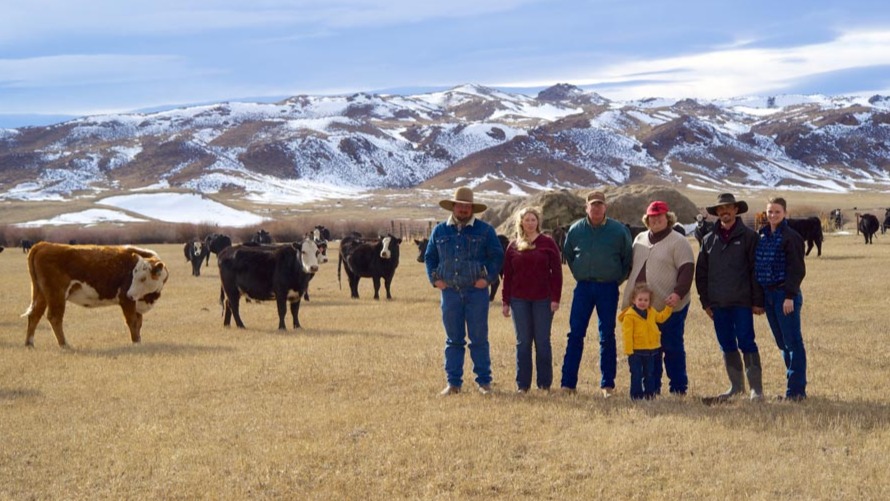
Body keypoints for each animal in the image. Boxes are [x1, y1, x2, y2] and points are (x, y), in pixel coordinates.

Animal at [22, 243, 168, 348]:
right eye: (134, 275)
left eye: (143, 278)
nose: (130, 294)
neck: (147, 298)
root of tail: (44, 245)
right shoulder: (127, 301)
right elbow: (132, 321)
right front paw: (136, 342)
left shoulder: (136, 303)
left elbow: (139, 323)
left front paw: (139, 340)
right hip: (56, 294)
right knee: (54, 317)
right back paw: (64, 344)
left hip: (42, 294)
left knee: (34, 315)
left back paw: (29, 343)